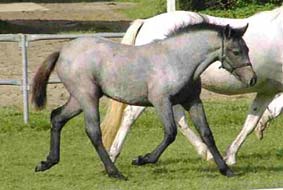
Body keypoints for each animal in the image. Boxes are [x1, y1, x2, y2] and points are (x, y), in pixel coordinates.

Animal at [102, 7, 283, 165]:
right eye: (237, 51)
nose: (252, 78)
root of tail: (145, 23)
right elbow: (273, 110)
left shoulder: (267, 91)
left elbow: (252, 121)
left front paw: (232, 155)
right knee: (133, 116)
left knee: (176, 121)